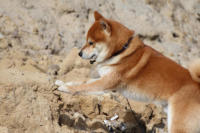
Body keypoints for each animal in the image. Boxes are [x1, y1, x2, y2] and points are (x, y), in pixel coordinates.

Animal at [57, 11, 200, 133]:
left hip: (179, 125)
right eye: (87, 41)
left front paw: (66, 88)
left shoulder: (106, 83)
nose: (79, 53)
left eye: (91, 42)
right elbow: (83, 81)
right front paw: (63, 82)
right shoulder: (105, 79)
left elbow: (83, 87)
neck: (121, 51)